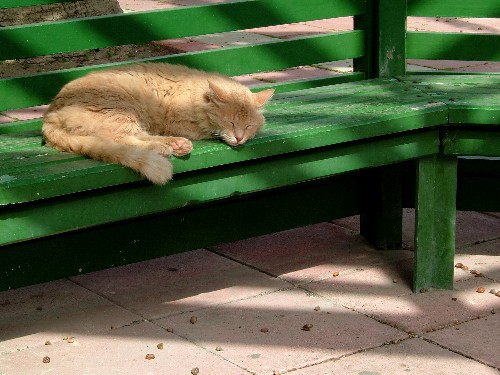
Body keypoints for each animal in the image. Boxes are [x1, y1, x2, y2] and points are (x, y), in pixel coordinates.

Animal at [43, 63, 276, 185]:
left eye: (249, 126)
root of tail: (50, 115)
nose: (239, 138)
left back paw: (177, 145)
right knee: (120, 139)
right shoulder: (180, 123)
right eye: (231, 122)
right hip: (122, 112)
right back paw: (165, 147)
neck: (195, 94)